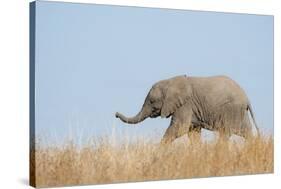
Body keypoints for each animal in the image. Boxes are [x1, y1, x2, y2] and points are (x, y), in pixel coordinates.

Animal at [114, 74, 258, 144]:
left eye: (152, 101)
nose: (115, 113)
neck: (170, 82)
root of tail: (246, 97)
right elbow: (192, 132)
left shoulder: (185, 105)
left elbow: (179, 128)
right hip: (240, 112)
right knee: (246, 132)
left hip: (231, 110)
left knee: (225, 133)